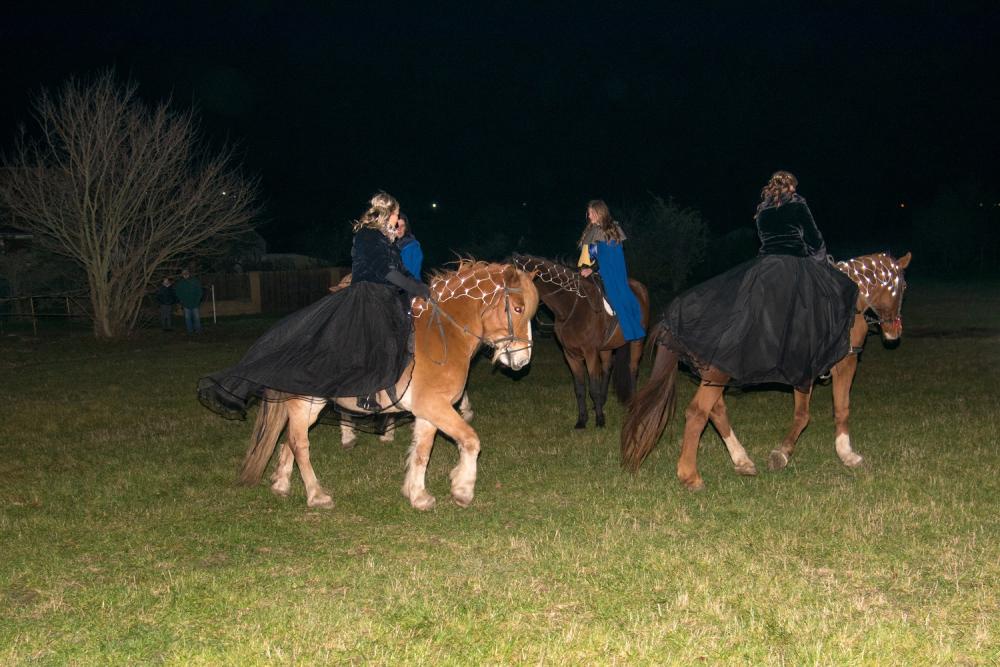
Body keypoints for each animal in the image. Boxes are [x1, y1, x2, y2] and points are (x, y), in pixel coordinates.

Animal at [238, 261, 540, 510]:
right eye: (518, 308)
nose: (523, 361)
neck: (445, 335)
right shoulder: (436, 407)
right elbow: (470, 441)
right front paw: (462, 490)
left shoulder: (428, 413)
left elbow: (421, 453)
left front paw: (417, 495)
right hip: (306, 402)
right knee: (299, 443)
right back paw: (316, 495)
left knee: (288, 439)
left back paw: (281, 484)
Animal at [512, 254, 650, 428]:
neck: (571, 305)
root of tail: (640, 287)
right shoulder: (570, 354)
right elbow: (580, 389)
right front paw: (582, 420)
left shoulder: (590, 353)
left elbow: (593, 387)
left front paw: (599, 420)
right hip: (606, 347)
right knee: (607, 367)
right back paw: (602, 402)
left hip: (638, 340)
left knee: (632, 368)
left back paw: (632, 404)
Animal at [621, 252, 911, 490]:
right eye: (904, 287)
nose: (894, 333)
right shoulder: (841, 363)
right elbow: (827, 411)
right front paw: (837, 453)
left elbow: (815, 411)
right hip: (717, 371)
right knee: (697, 413)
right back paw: (690, 475)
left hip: (714, 373)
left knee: (716, 410)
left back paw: (742, 460)